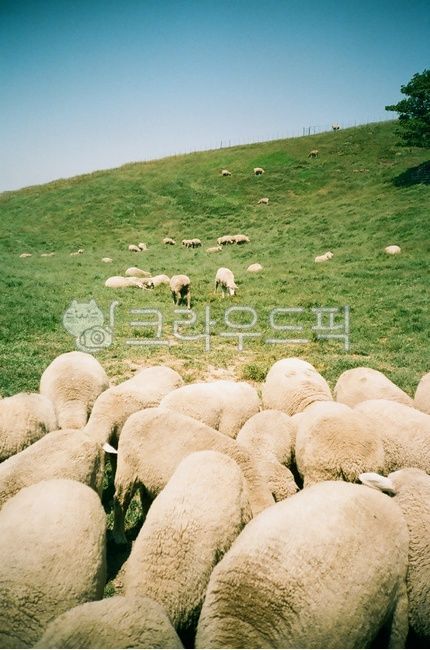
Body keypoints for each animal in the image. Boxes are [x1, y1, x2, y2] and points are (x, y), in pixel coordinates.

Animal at [112, 408, 274, 543]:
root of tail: (134, 415)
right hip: (127, 470)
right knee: (120, 500)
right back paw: (119, 537)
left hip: (147, 477)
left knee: (145, 498)